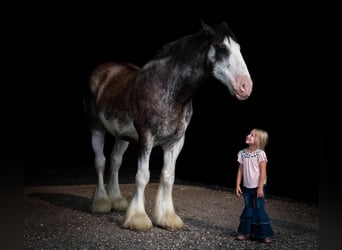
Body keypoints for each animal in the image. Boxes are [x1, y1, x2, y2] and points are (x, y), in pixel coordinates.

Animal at [84, 20, 252, 231]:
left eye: (239, 48)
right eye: (222, 48)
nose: (246, 86)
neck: (168, 88)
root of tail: (103, 70)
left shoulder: (176, 141)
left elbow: (167, 176)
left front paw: (167, 218)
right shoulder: (146, 138)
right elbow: (143, 176)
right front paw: (138, 219)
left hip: (122, 135)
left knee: (115, 162)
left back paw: (117, 201)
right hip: (96, 128)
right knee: (100, 162)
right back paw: (101, 203)